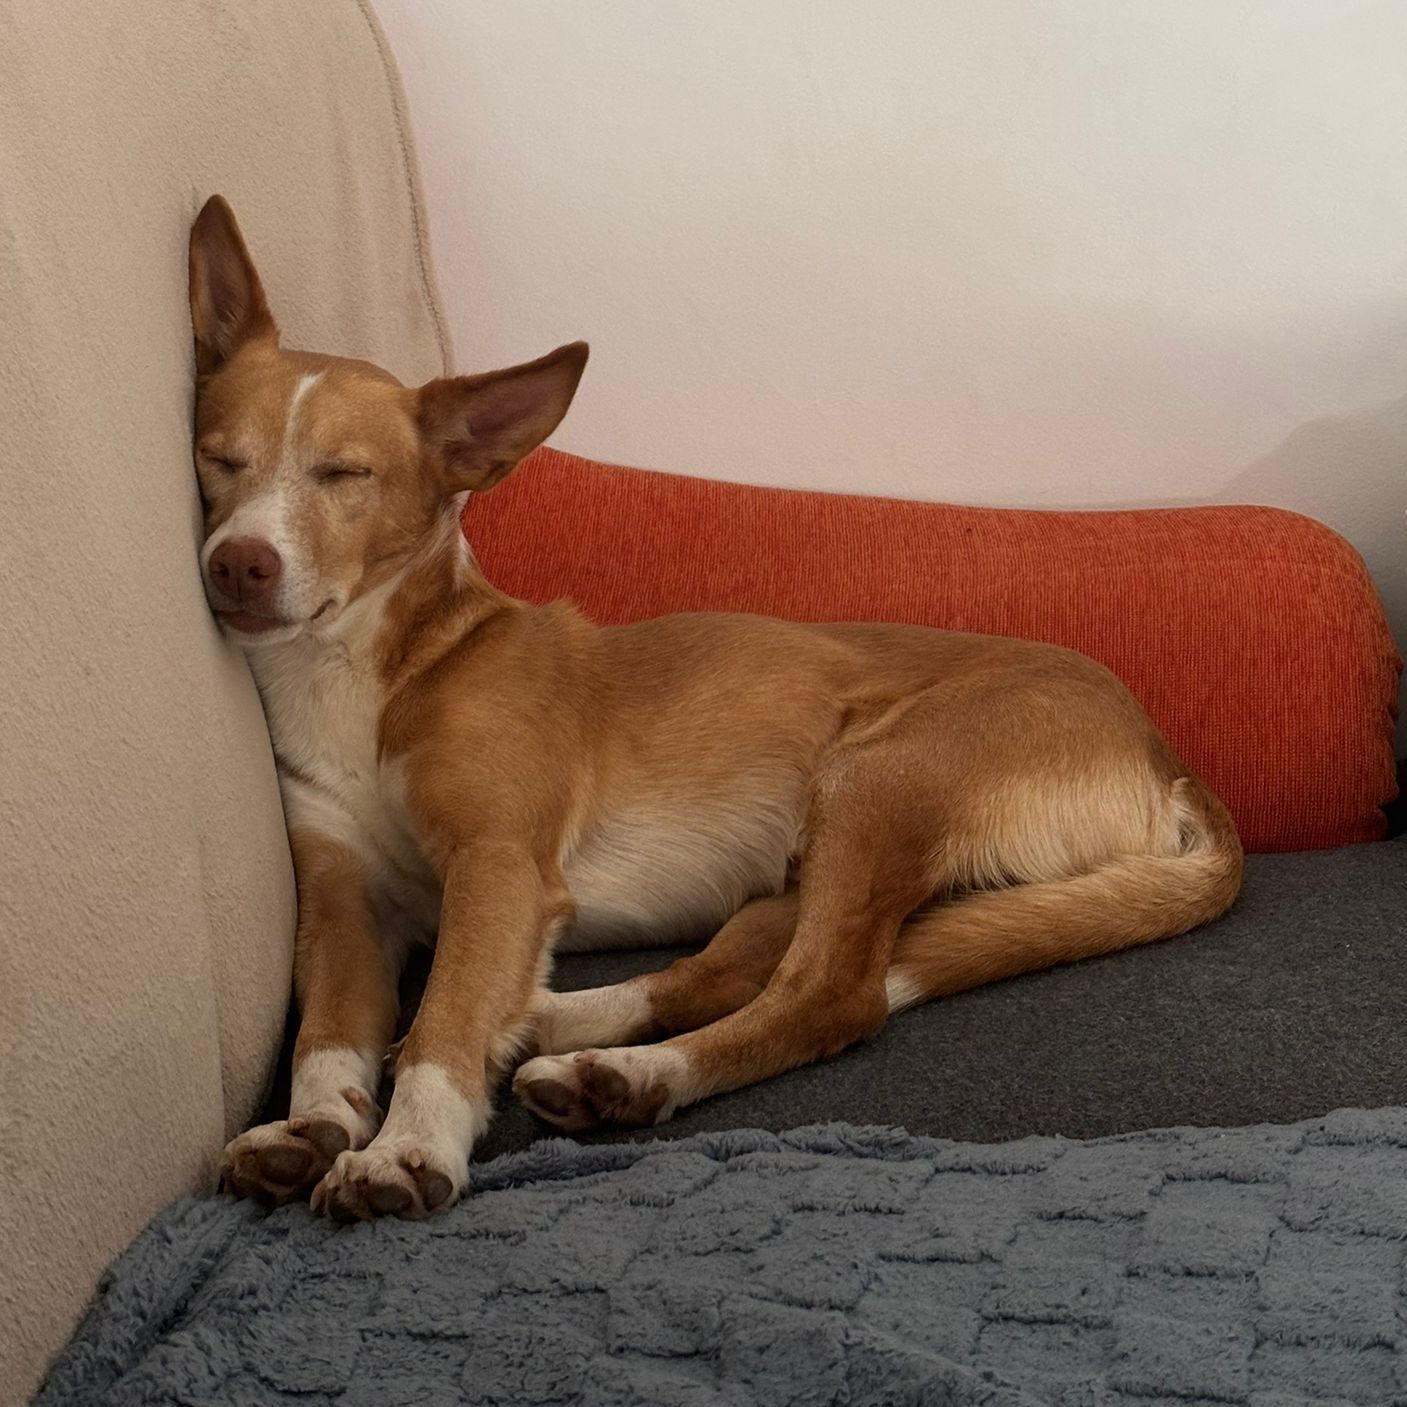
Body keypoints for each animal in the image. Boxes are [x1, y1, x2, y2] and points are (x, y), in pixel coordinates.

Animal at [193, 196, 1243, 1221]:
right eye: (216, 460)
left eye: (345, 473)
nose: (237, 563)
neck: (375, 667)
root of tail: (1167, 758)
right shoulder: (343, 900)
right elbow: (325, 1032)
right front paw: (310, 1125)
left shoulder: (500, 866)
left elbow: (446, 1016)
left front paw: (404, 1147)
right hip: (803, 864)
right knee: (730, 970)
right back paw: (560, 1027)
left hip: (879, 775)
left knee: (829, 995)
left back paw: (632, 1074)